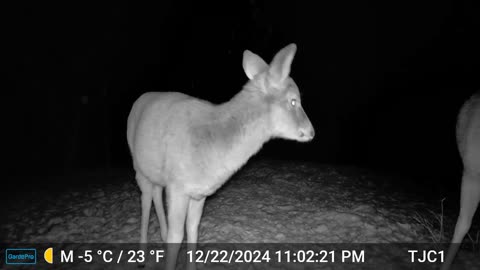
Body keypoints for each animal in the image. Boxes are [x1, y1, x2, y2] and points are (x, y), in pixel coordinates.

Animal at [125, 43, 316, 268]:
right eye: (294, 101)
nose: (312, 132)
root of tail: (139, 100)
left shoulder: (199, 192)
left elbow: (192, 231)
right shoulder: (178, 186)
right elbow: (176, 237)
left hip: (155, 171)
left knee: (155, 192)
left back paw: (160, 235)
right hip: (137, 165)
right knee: (145, 201)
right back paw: (141, 255)